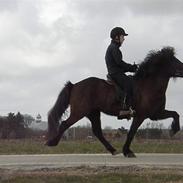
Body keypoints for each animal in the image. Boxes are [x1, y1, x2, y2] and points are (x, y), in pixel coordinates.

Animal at [46, 46, 183, 157]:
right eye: (173, 61)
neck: (149, 85)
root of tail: (74, 85)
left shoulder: (156, 114)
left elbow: (175, 114)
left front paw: (174, 130)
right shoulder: (141, 115)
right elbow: (131, 133)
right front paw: (127, 151)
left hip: (93, 113)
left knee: (97, 131)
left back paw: (113, 150)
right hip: (79, 112)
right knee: (65, 124)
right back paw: (51, 142)